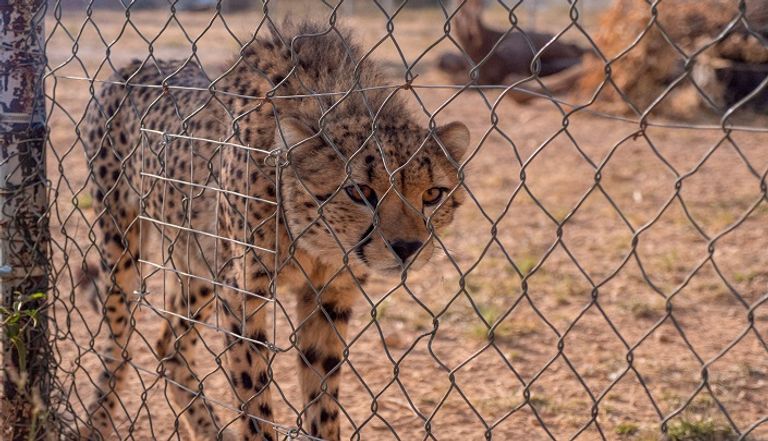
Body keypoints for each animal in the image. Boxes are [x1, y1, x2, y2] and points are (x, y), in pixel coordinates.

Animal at [81, 21, 472, 440]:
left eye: (432, 194)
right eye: (360, 192)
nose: (407, 247)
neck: (315, 241)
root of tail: (131, 65)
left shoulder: (329, 296)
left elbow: (322, 396)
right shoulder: (243, 292)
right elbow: (254, 396)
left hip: (200, 263)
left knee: (169, 347)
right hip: (122, 239)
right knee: (119, 342)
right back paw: (98, 421)